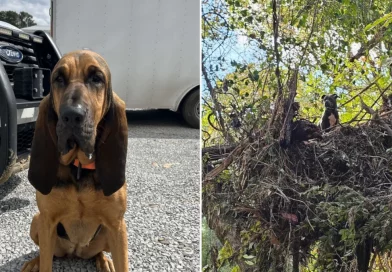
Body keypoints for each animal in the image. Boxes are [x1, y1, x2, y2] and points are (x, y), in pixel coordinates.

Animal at [21, 50, 129, 270]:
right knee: (47, 253)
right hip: (37, 222)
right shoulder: (47, 221)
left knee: (97, 253)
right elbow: (46, 262)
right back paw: (34, 262)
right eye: (58, 78)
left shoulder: (117, 225)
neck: (79, 168)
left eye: (97, 78)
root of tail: (75, 252)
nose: (71, 115)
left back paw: (103, 261)